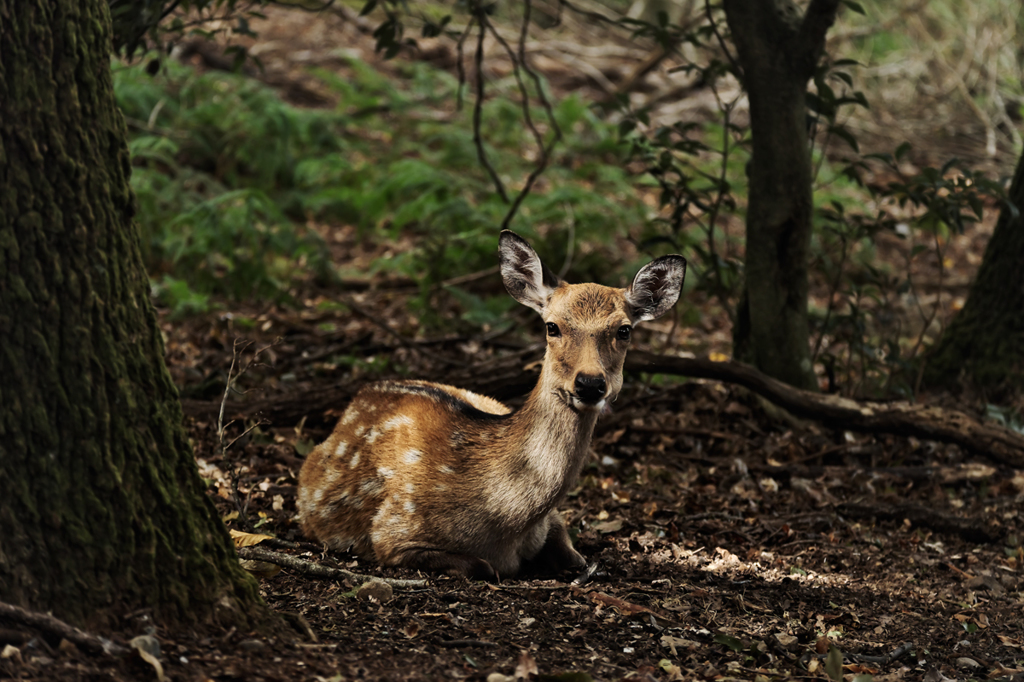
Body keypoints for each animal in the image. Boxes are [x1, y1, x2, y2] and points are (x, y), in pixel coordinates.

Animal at [296, 231, 688, 577]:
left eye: (624, 330)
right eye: (552, 326)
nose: (589, 384)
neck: (504, 522)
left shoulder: (552, 520)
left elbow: (575, 555)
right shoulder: (393, 532)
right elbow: (481, 567)